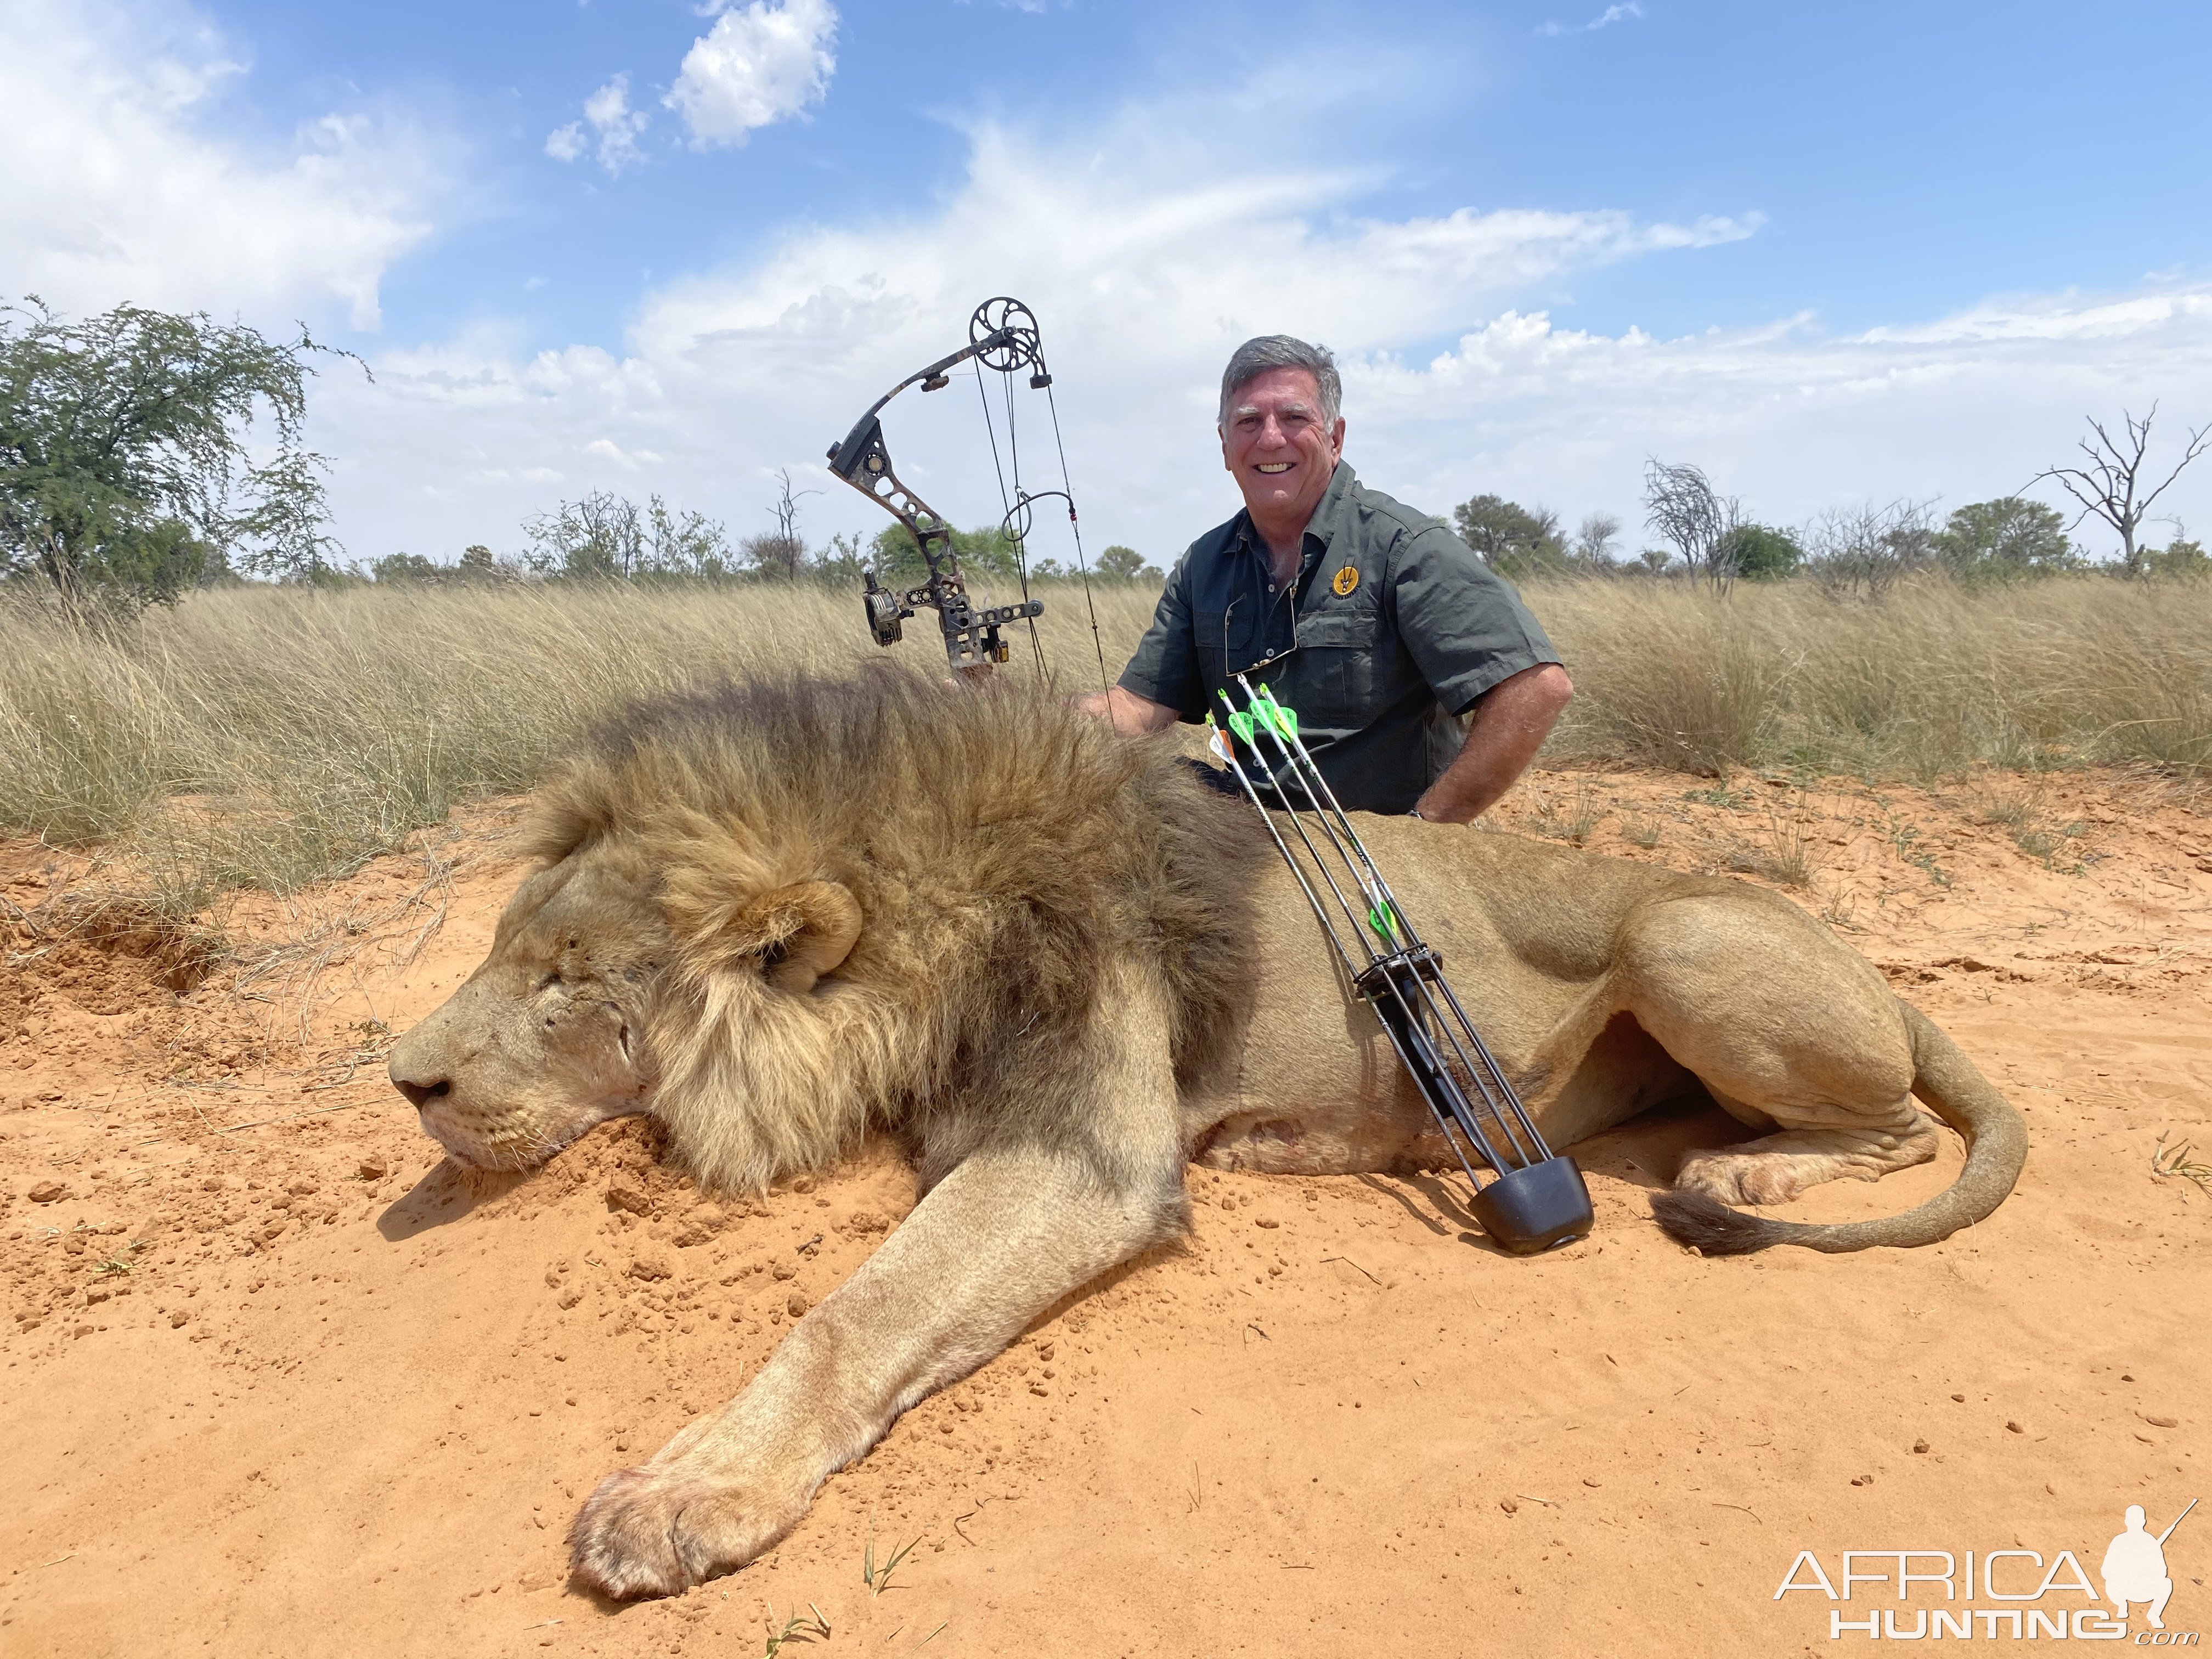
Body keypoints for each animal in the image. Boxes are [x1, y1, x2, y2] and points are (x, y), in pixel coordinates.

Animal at [385, 668, 2026, 1601]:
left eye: (568, 984)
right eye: (505, 953)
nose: (404, 1081)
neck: (933, 922)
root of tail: (1871, 967)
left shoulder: (1085, 1158)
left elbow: (853, 1317)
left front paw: (679, 1496)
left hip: (1687, 933)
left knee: (1892, 1126)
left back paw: (1751, 1168)